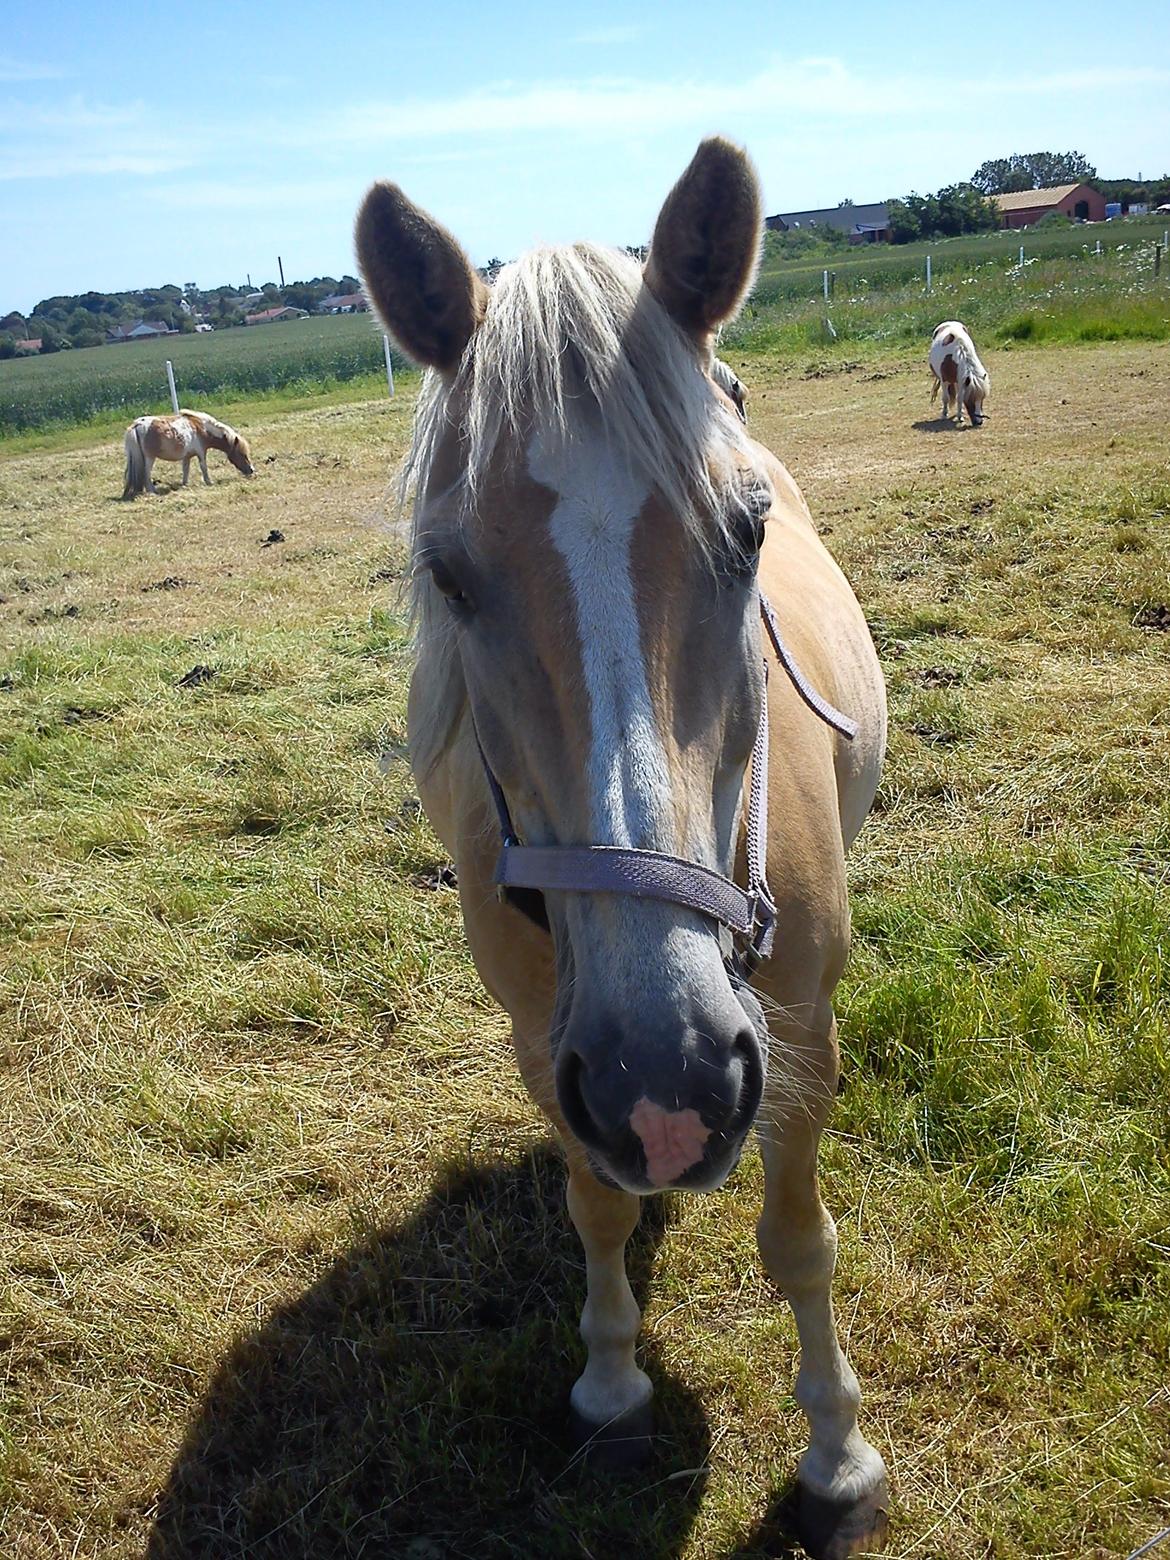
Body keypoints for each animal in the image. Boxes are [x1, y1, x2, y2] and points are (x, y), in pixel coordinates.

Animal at [121, 408, 254, 499]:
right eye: (242, 454)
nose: (252, 470)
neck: (202, 428)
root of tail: (136, 425)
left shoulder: (187, 456)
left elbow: (186, 470)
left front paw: (185, 485)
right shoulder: (201, 453)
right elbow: (204, 468)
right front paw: (209, 482)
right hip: (149, 458)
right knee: (146, 474)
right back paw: (152, 491)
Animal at [357, 140, 886, 1553]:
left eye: (746, 535)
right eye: (448, 573)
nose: (669, 1078)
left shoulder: (801, 1028)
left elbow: (798, 1240)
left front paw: (837, 1454)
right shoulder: (545, 1037)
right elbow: (590, 1203)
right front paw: (608, 1384)